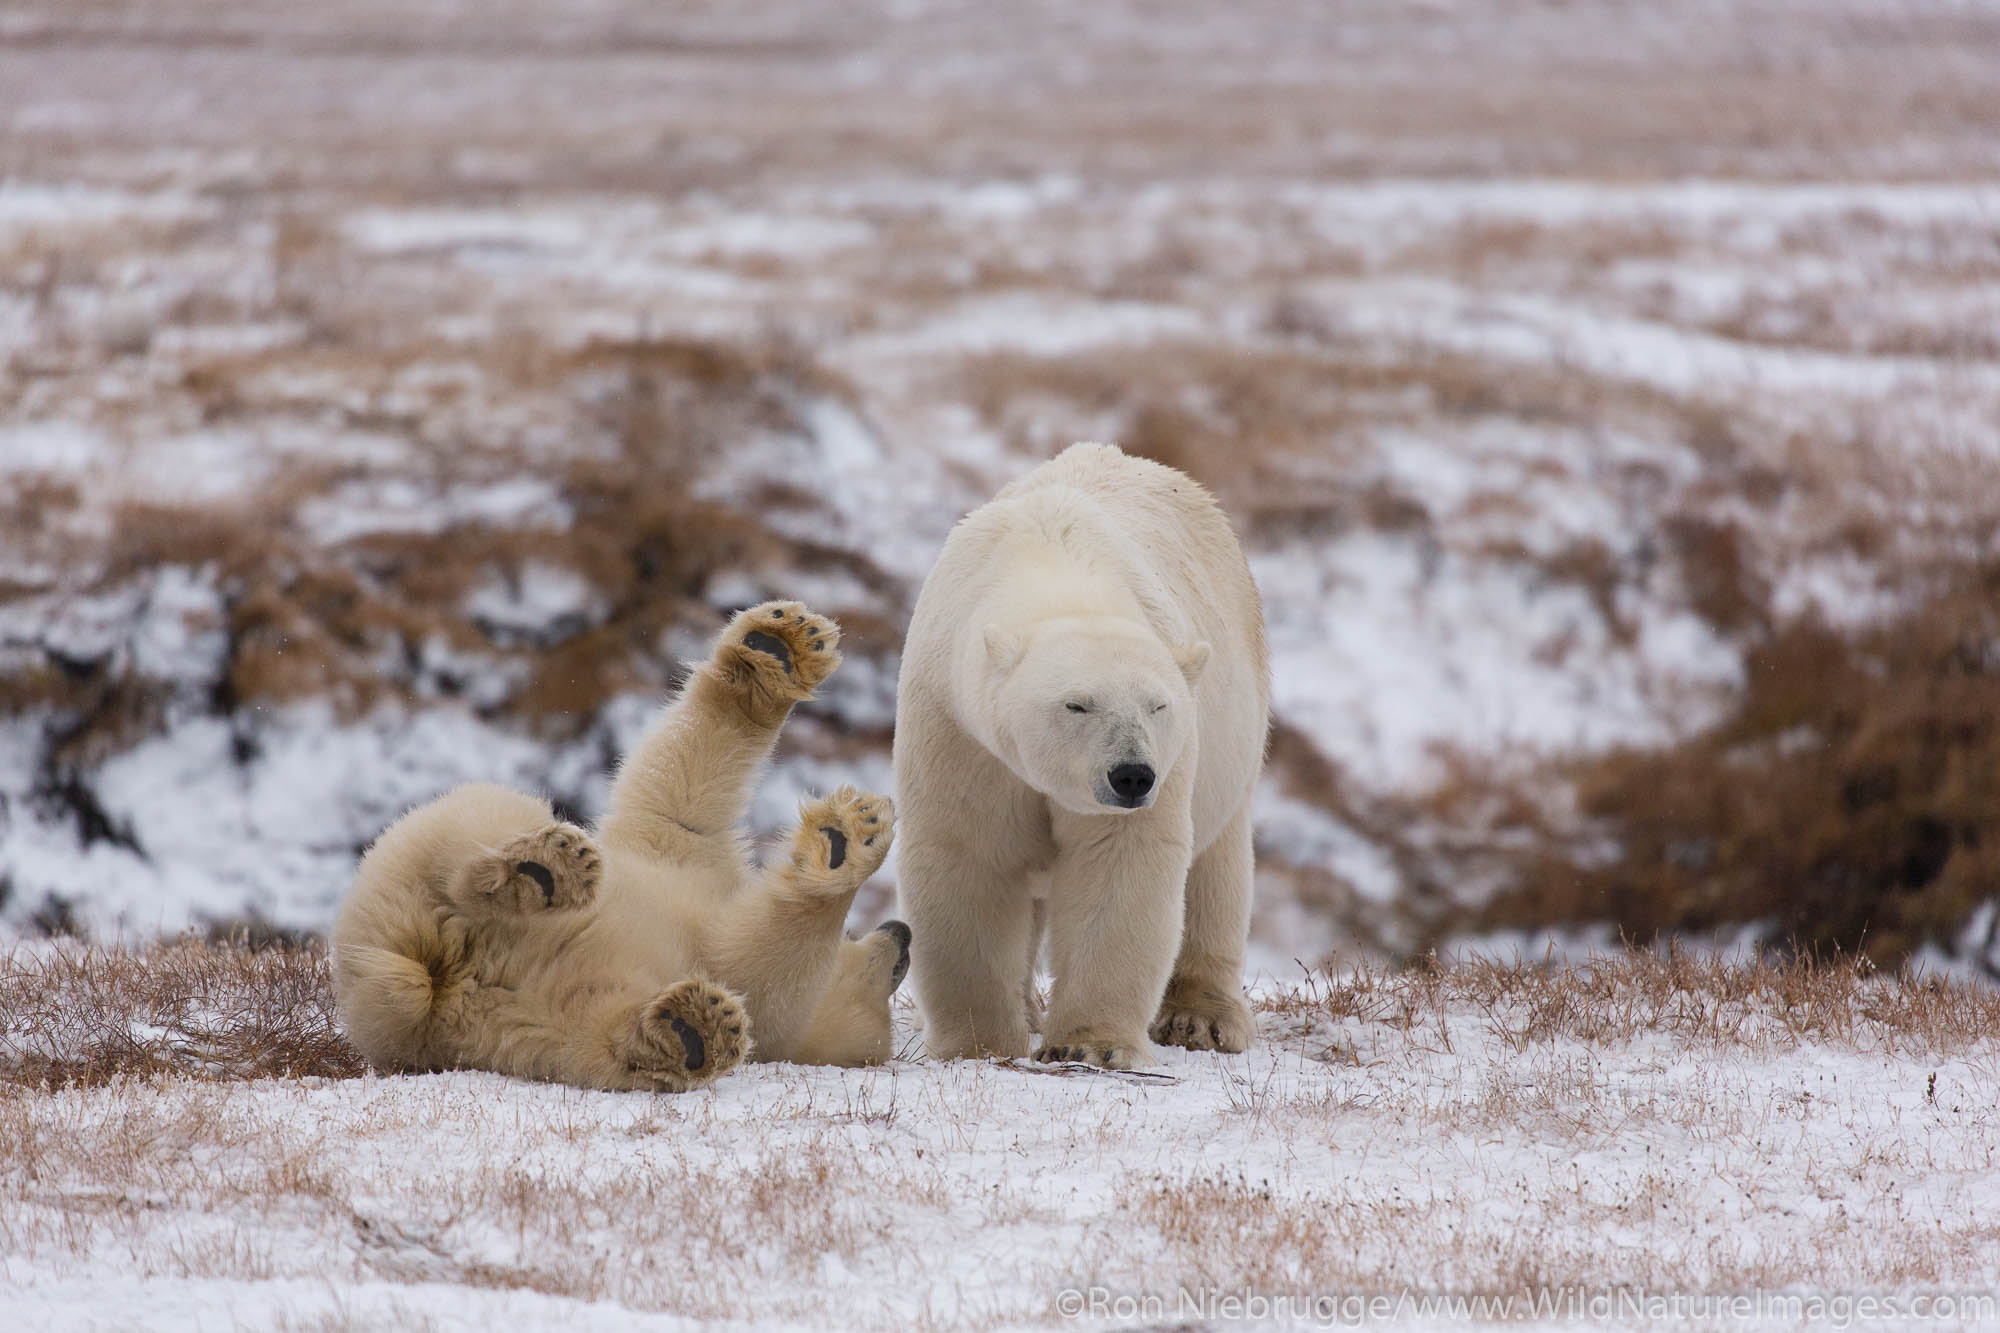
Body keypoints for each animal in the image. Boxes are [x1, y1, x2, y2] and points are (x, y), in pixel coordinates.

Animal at [332, 600, 912, 1088]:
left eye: (889, 986)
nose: (902, 934)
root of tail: (439, 978)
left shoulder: (770, 1015)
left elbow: (760, 973)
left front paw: (847, 841)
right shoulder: (684, 863)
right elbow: (680, 800)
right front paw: (778, 648)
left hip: (505, 1032)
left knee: (594, 1034)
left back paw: (686, 1028)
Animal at [892, 440, 1264, 1064]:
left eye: (1157, 706)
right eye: (1077, 705)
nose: (1132, 776)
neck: (1055, 569)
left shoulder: (1172, 756)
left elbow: (1119, 863)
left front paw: (1091, 1046)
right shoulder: (957, 725)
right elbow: (968, 853)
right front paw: (978, 1042)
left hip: (1231, 738)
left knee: (1216, 868)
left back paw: (1201, 1019)